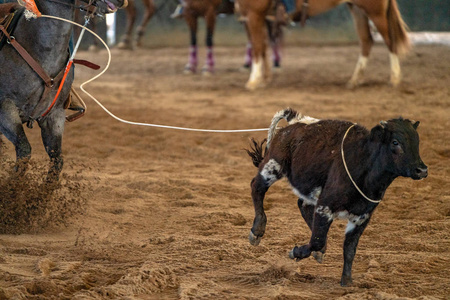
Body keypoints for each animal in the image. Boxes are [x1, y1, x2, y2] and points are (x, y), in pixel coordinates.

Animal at [239, 0, 412, 89]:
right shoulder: (254, 18)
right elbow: (261, 46)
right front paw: (262, 79)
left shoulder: (254, 15)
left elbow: (257, 47)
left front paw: (253, 80)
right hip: (357, 8)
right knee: (366, 40)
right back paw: (355, 80)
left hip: (375, 10)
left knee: (390, 41)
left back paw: (395, 78)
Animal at [248, 108, 428, 286]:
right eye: (395, 142)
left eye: (417, 141)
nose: (422, 170)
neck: (364, 163)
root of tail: (296, 121)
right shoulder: (325, 206)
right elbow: (317, 240)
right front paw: (296, 252)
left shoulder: (362, 217)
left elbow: (349, 249)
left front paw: (346, 281)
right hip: (273, 166)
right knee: (257, 187)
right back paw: (257, 230)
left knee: (303, 205)